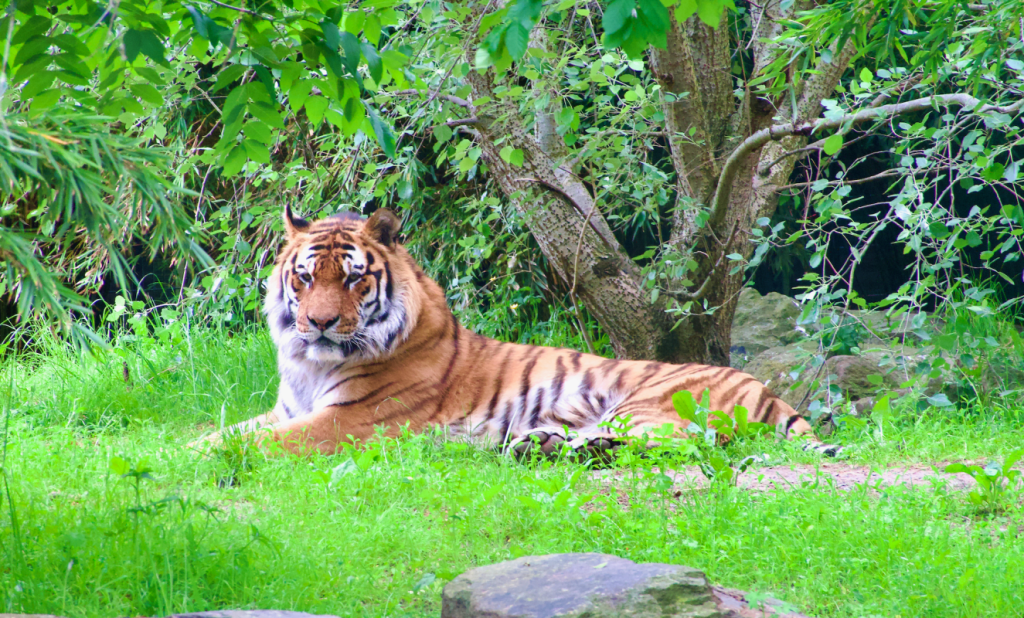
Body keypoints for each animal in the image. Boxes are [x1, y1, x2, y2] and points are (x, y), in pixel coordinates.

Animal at [193, 207, 844, 459]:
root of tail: (767, 388)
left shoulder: (349, 422)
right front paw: (182, 447)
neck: (310, 362)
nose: (320, 322)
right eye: (304, 278)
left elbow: (248, 443)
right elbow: (222, 430)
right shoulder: (286, 410)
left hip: (651, 401)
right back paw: (539, 444)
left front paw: (192, 461)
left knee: (684, 445)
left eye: (353, 279)